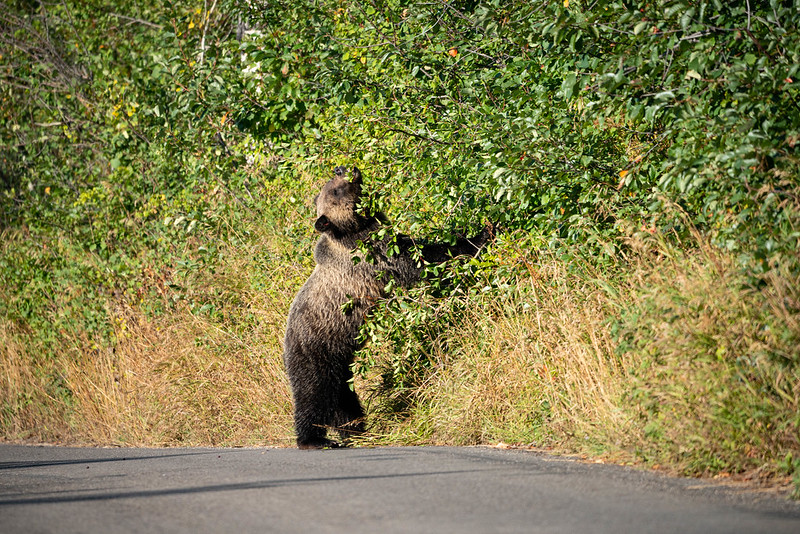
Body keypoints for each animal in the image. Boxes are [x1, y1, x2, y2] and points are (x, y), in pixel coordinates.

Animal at [282, 165, 494, 450]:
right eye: (335, 189)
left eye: (333, 180)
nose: (348, 168)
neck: (355, 230)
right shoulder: (373, 256)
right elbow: (419, 260)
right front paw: (482, 234)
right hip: (316, 349)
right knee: (312, 395)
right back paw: (313, 439)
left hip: (341, 363)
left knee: (344, 400)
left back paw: (357, 431)